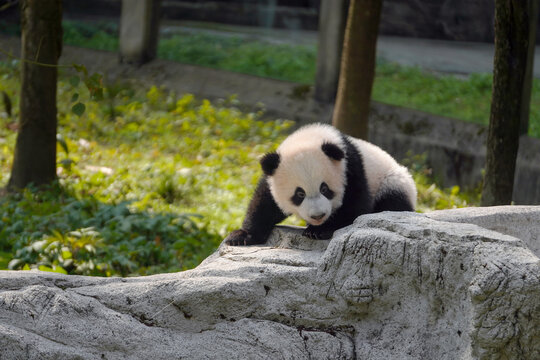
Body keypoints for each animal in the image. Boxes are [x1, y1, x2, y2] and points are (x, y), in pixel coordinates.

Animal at [224, 122, 418, 246]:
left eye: (325, 189)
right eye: (299, 194)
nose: (318, 216)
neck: (312, 136)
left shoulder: (350, 168)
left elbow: (354, 206)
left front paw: (320, 231)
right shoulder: (274, 172)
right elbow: (264, 203)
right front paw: (242, 236)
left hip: (391, 182)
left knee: (393, 203)